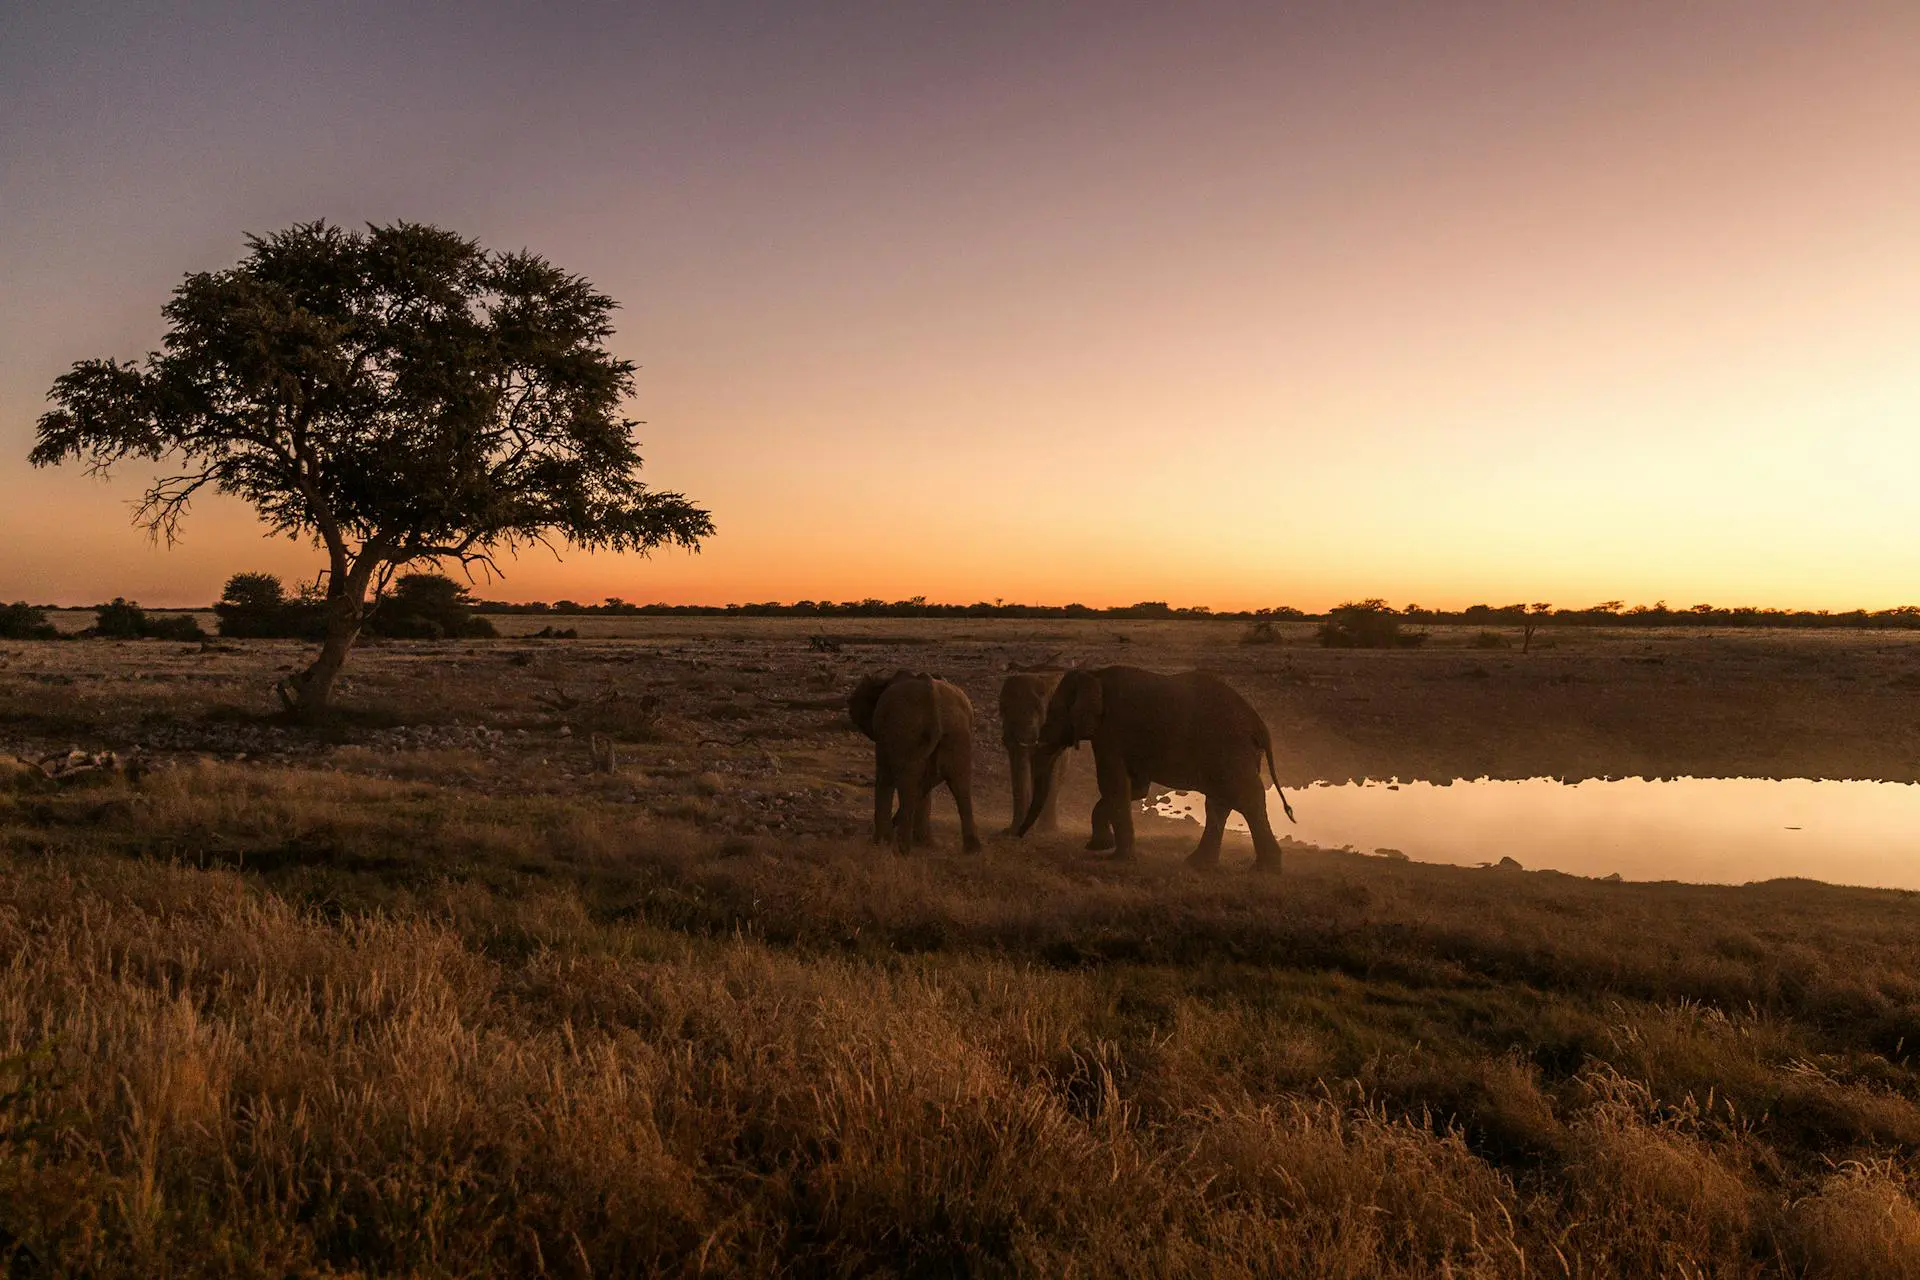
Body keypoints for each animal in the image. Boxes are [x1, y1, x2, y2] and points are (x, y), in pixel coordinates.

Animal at [849, 670, 983, 854]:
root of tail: (933, 703)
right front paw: (922, 844)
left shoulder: (885, 736)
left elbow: (884, 777)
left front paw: (879, 843)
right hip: (957, 733)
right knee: (960, 784)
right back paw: (972, 850)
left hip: (908, 733)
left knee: (909, 785)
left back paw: (902, 849)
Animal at [1014, 665, 1297, 871]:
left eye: (1055, 713)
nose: (1018, 837)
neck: (1094, 674)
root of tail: (1260, 725)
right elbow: (1135, 788)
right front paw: (1098, 846)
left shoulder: (1112, 730)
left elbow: (1112, 784)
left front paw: (1114, 859)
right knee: (1220, 802)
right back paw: (1197, 864)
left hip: (1230, 749)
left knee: (1246, 800)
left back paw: (1264, 870)